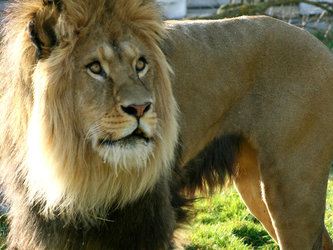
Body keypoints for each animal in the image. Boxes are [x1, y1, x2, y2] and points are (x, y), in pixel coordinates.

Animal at [0, 0, 332, 249]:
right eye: (95, 67)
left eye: (141, 64)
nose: (141, 108)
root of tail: (318, 44)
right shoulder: (48, 224)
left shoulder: (148, 220)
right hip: (255, 185)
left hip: (291, 191)